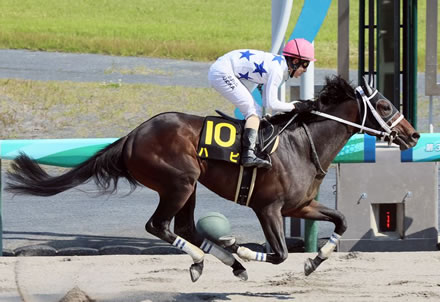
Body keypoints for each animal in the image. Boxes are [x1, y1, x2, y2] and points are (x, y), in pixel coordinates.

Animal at [6, 76, 420, 282]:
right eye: (385, 105)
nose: (414, 135)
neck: (303, 144)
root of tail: (132, 136)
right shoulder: (268, 208)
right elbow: (279, 253)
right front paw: (245, 250)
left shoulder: (300, 205)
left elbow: (342, 221)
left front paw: (314, 261)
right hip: (179, 181)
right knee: (159, 225)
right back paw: (217, 258)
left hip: (187, 187)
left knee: (185, 227)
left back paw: (221, 259)